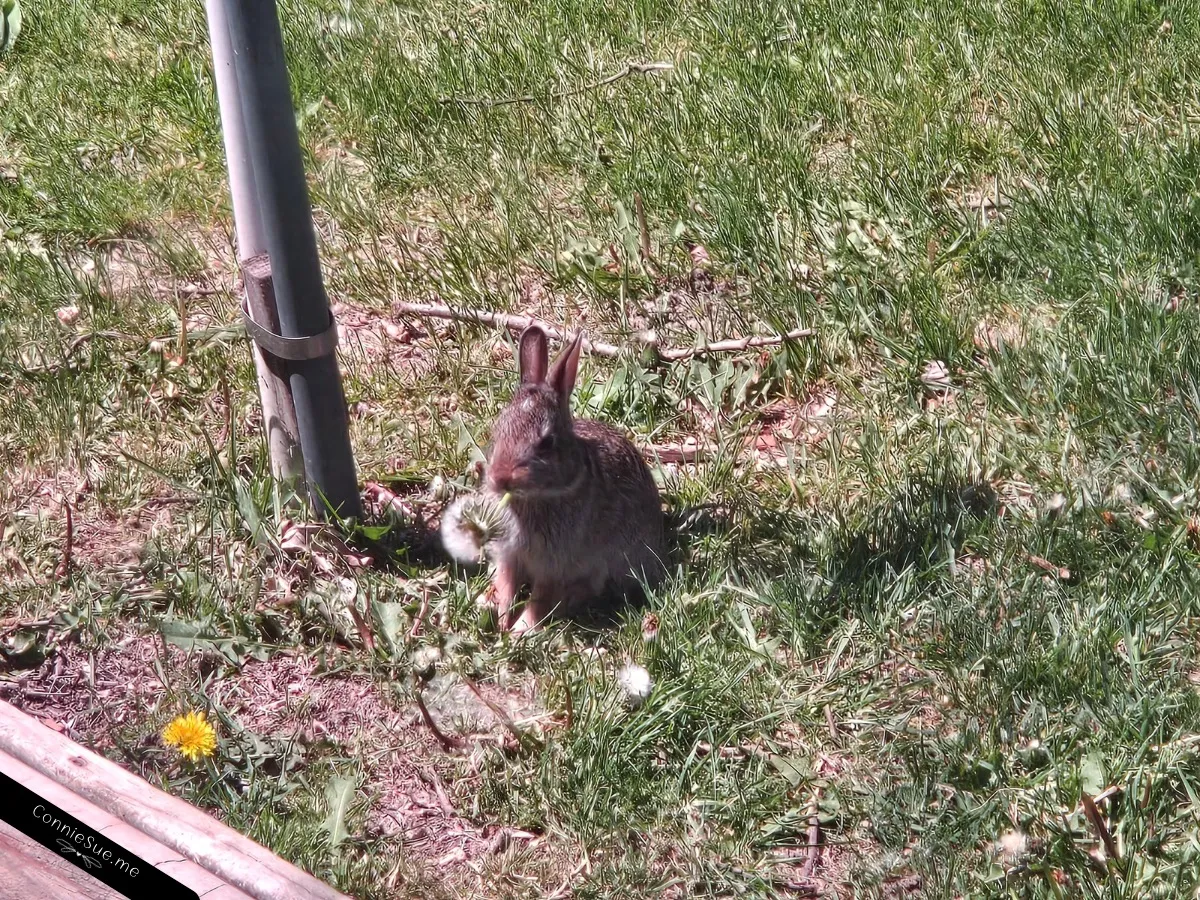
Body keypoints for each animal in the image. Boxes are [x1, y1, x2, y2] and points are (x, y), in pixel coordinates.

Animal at [478, 324, 666, 633]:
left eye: (546, 443)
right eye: (498, 427)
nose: (500, 479)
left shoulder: (555, 563)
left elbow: (540, 598)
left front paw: (520, 630)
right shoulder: (510, 553)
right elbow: (507, 582)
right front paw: (503, 619)